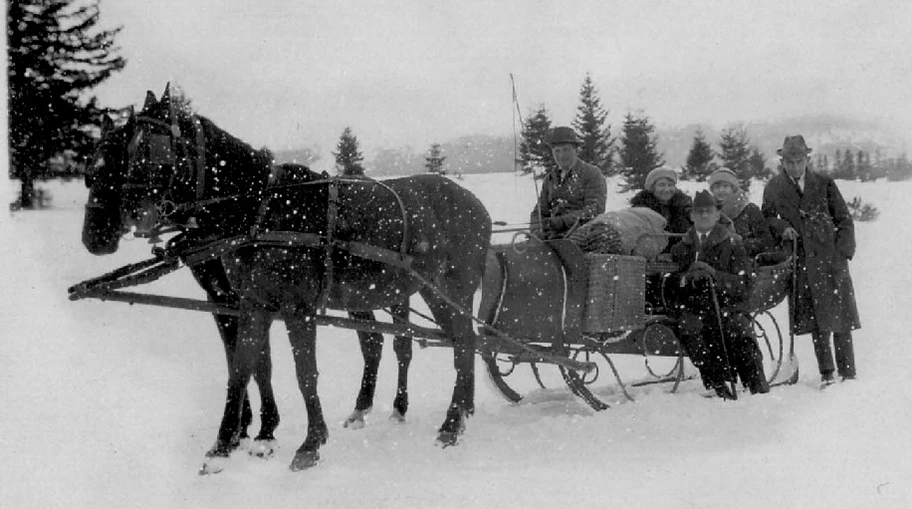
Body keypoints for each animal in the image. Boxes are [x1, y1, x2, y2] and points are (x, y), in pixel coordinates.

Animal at [82, 85, 492, 470]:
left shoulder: (297, 307)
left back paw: (451, 424)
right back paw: (460, 411)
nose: (129, 218)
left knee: (461, 344)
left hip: (448, 290)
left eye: (153, 148)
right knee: (455, 343)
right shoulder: (251, 302)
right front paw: (223, 445)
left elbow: (303, 372)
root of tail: (477, 205)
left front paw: (308, 444)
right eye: (125, 152)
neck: (259, 210)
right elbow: (243, 368)